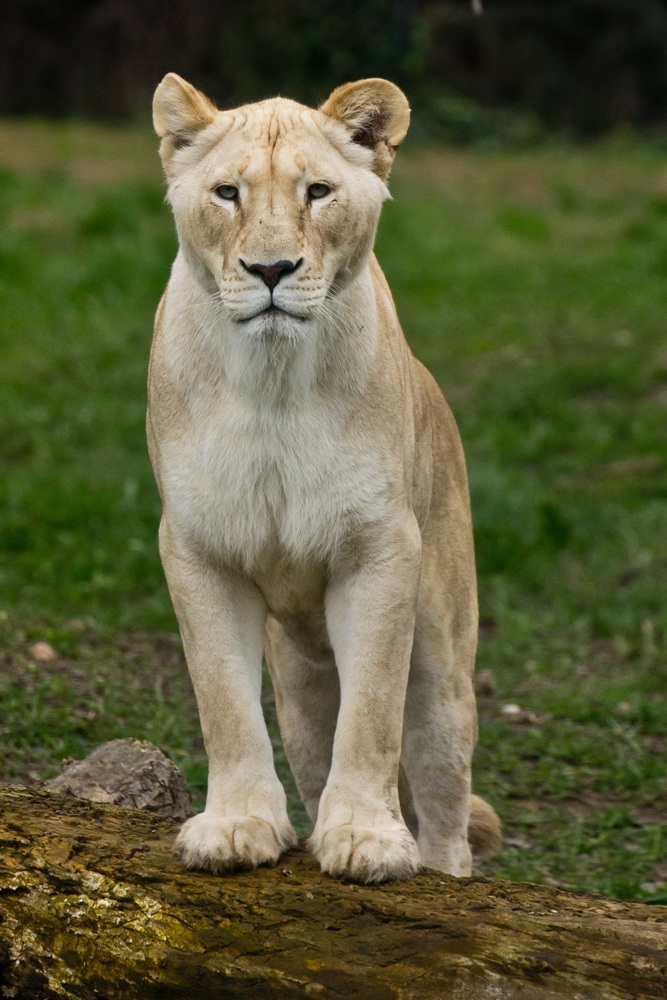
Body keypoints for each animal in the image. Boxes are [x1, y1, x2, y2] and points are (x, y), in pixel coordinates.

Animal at [148, 73, 501, 884]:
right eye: (226, 193)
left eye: (318, 192)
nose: (271, 271)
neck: (272, 380)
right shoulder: (198, 550)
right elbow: (223, 703)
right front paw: (237, 826)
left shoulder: (379, 550)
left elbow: (371, 713)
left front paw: (367, 838)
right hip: (304, 693)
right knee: (313, 750)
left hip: (443, 673)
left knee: (443, 804)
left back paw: (438, 871)